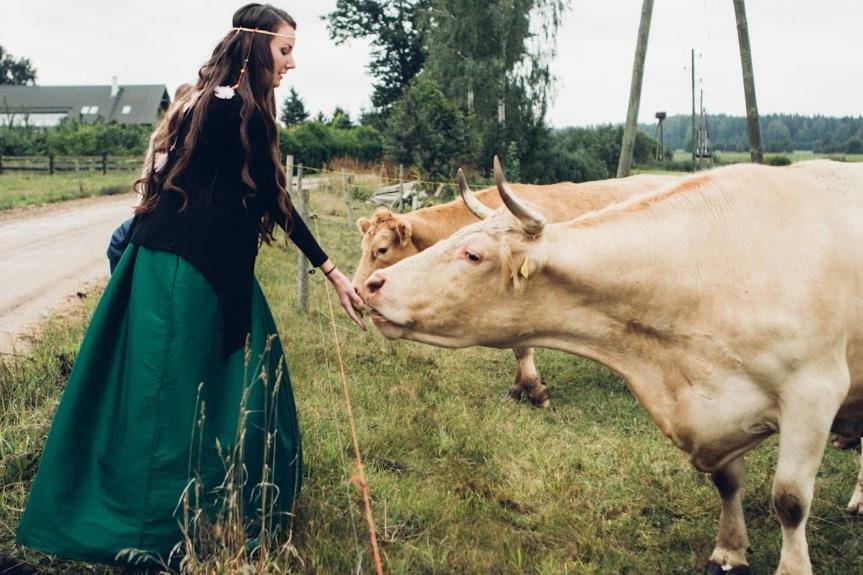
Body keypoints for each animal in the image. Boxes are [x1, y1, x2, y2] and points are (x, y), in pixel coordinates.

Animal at [352, 173, 676, 408]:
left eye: (381, 249)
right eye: (363, 246)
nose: (356, 289)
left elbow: (522, 348)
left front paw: (534, 390)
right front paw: (520, 388)